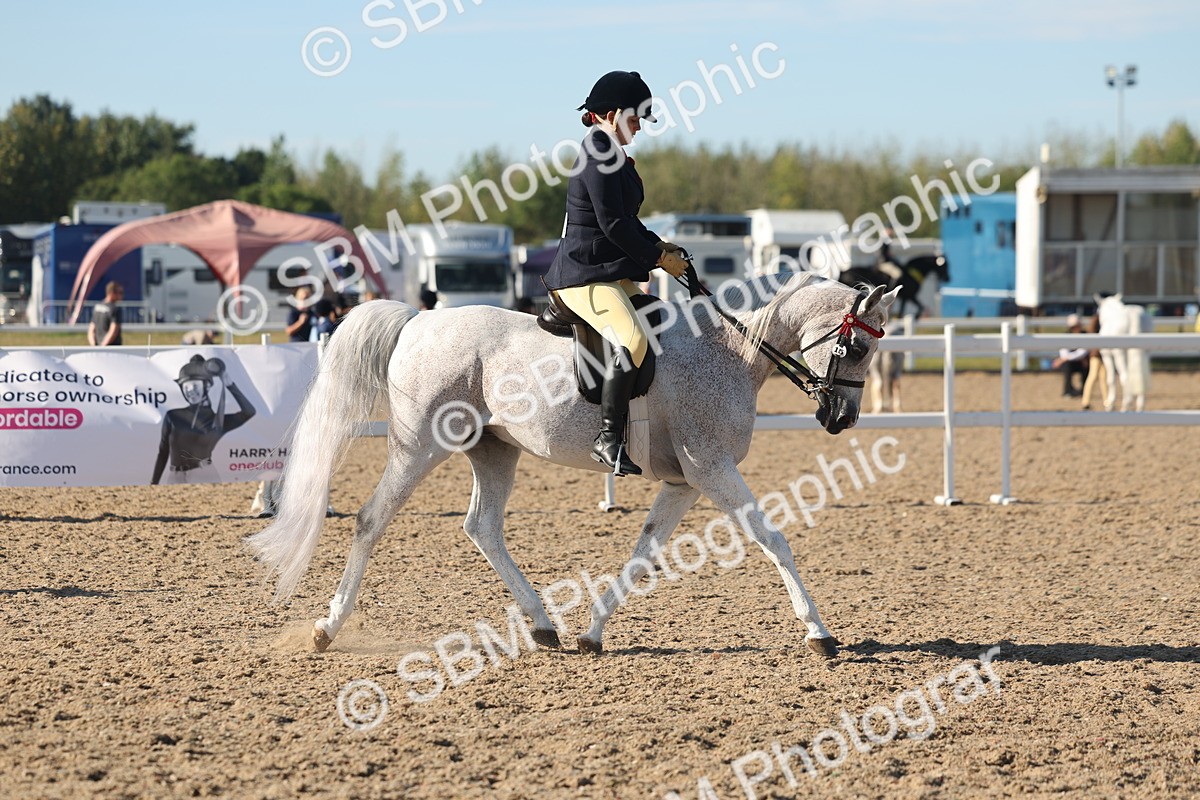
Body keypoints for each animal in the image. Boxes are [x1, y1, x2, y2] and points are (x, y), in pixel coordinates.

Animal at [246, 273, 899, 660]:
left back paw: (543, 626)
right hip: (420, 446)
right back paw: (327, 627)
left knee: (482, 527)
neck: (734, 354)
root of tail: (417, 320)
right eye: (858, 345)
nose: (841, 418)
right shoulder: (713, 470)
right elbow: (773, 539)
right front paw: (819, 633)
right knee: (372, 519)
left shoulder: (684, 483)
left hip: (494, 450)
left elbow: (644, 553)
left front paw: (592, 632)